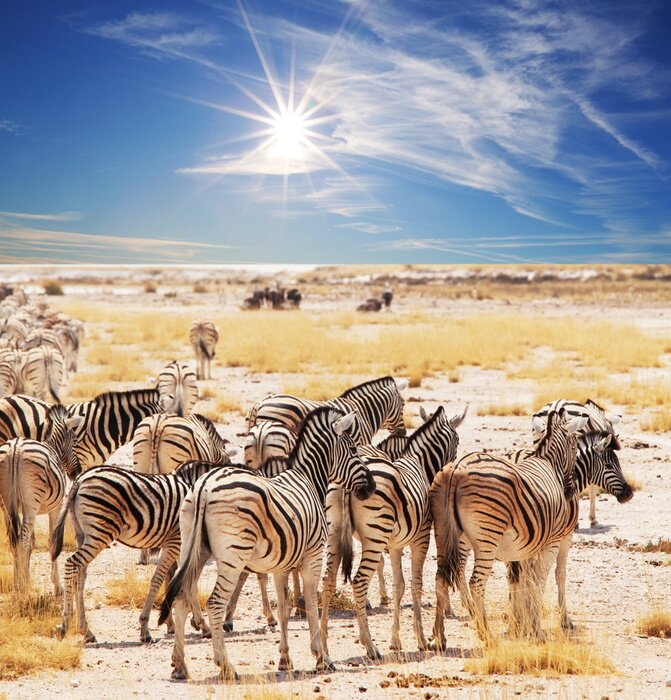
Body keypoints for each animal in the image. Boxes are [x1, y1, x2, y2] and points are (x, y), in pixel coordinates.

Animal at [0, 404, 82, 593]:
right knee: (22, 540)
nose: (77, 472)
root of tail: (15, 449)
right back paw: (23, 587)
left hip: (7, 503)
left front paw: (25, 577)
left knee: (14, 540)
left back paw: (18, 583)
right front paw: (57, 586)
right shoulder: (56, 507)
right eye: (75, 441)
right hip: (31, 503)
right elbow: (51, 542)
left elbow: (32, 542)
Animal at [50, 459, 221, 644]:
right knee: (71, 564)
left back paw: (86, 631)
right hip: (100, 533)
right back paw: (65, 625)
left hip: (81, 534)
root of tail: (81, 479)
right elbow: (166, 580)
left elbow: (179, 580)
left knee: (80, 576)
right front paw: (146, 628)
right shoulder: (178, 541)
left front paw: (180, 624)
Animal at [158, 406, 376, 681]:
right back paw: (226, 666)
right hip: (233, 556)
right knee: (215, 603)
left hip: (193, 547)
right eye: (354, 450)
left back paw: (180, 665)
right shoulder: (313, 556)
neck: (309, 479)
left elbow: (284, 608)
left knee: (181, 598)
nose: (372, 487)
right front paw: (322, 658)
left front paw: (285, 660)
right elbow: (311, 605)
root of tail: (204, 488)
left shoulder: (281, 564)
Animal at [320, 404, 466, 660]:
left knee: (328, 581)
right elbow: (416, 584)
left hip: (335, 534)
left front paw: (395, 640)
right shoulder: (421, 537)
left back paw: (323, 648)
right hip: (375, 538)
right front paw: (421, 640)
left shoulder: (396, 544)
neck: (419, 463)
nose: (451, 468)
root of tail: (349, 485)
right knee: (359, 582)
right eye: (456, 441)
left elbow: (400, 586)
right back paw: (370, 647)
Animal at [430, 427, 634, 648]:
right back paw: (485, 632)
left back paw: (442, 634)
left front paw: (520, 623)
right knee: (473, 580)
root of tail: (456, 469)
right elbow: (557, 575)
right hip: (485, 538)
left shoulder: (528, 543)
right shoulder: (563, 539)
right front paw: (560, 621)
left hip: (449, 535)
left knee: (445, 576)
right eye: (609, 465)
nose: (629, 493)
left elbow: (523, 580)